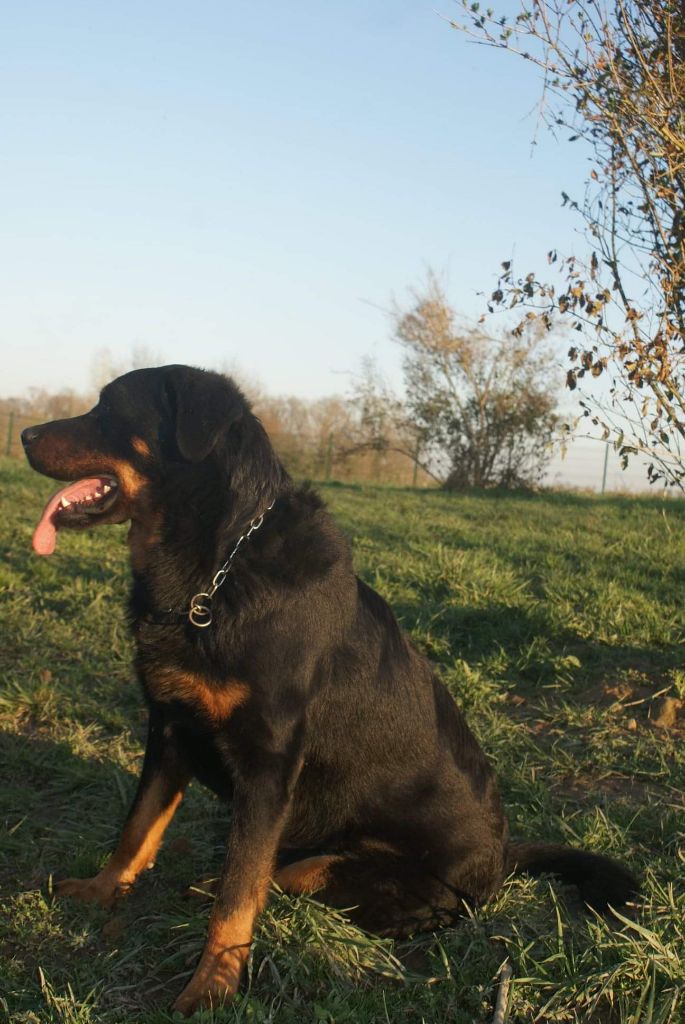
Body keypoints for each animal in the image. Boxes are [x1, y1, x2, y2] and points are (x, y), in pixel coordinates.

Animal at [22, 364, 643, 1011]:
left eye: (108, 409)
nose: (23, 435)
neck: (215, 574)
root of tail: (500, 861)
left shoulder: (268, 763)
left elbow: (238, 895)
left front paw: (213, 984)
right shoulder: (169, 727)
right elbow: (137, 828)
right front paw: (101, 890)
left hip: (364, 869)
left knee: (296, 881)